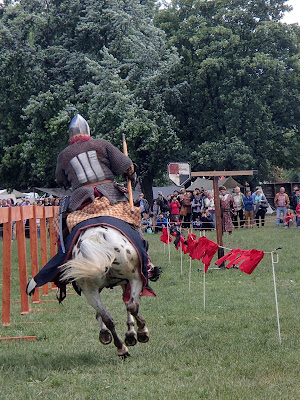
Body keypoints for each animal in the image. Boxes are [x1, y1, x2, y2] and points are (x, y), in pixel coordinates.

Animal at [59, 225, 152, 360]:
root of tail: (96, 236)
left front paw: (106, 333)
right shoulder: (128, 282)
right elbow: (129, 305)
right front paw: (132, 333)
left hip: (90, 289)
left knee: (108, 318)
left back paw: (121, 348)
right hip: (135, 278)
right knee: (132, 306)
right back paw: (141, 332)